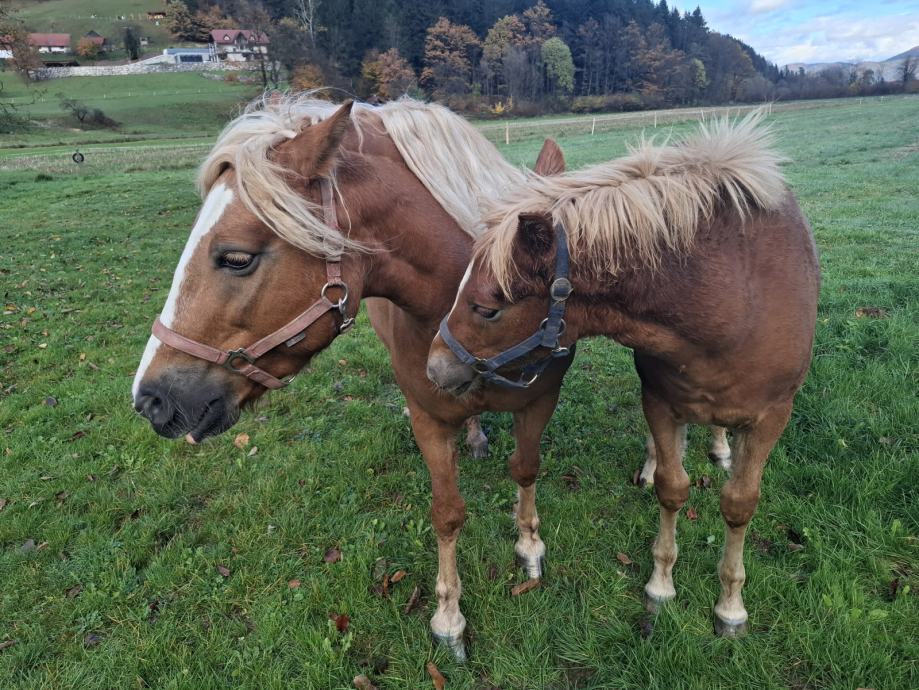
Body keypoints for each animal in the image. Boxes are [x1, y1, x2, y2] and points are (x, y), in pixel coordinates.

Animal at [131, 95, 574, 659]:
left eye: (236, 258)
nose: (150, 399)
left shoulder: (540, 401)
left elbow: (526, 469)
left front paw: (529, 547)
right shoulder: (427, 419)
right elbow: (447, 513)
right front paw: (449, 618)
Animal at [427, 113, 820, 636]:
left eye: (487, 308)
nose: (434, 366)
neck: (732, 295)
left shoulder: (771, 417)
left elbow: (739, 505)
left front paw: (730, 606)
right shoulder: (660, 400)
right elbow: (673, 489)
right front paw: (661, 586)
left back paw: (720, 449)